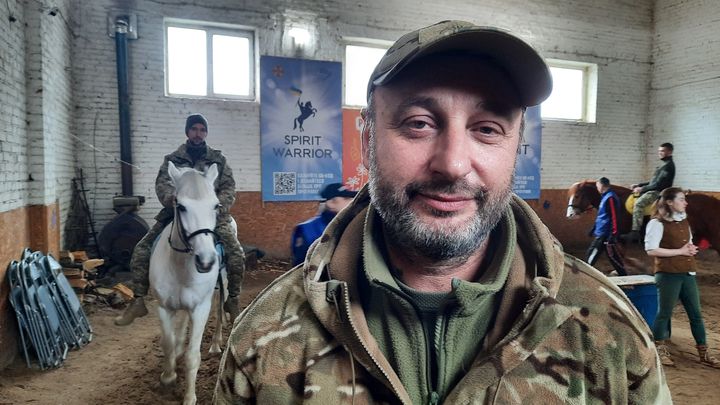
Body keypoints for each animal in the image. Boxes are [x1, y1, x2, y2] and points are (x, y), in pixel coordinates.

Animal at [150, 161, 229, 404]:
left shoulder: (200, 309)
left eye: (216, 205)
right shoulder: (163, 307)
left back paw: (215, 344)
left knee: (220, 311)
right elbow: (167, 343)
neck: (181, 269)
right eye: (181, 206)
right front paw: (168, 377)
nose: (206, 260)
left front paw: (189, 397)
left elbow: (193, 356)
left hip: (223, 288)